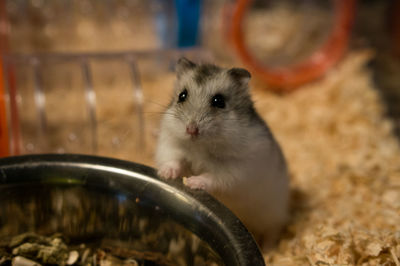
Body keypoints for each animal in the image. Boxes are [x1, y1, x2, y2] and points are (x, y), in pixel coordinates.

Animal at [155, 57, 290, 249]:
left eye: (219, 101)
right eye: (182, 96)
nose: (191, 130)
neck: (200, 147)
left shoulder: (235, 170)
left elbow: (213, 177)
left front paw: (192, 182)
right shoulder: (170, 145)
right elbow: (174, 160)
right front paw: (166, 173)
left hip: (273, 214)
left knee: (273, 231)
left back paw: (269, 249)